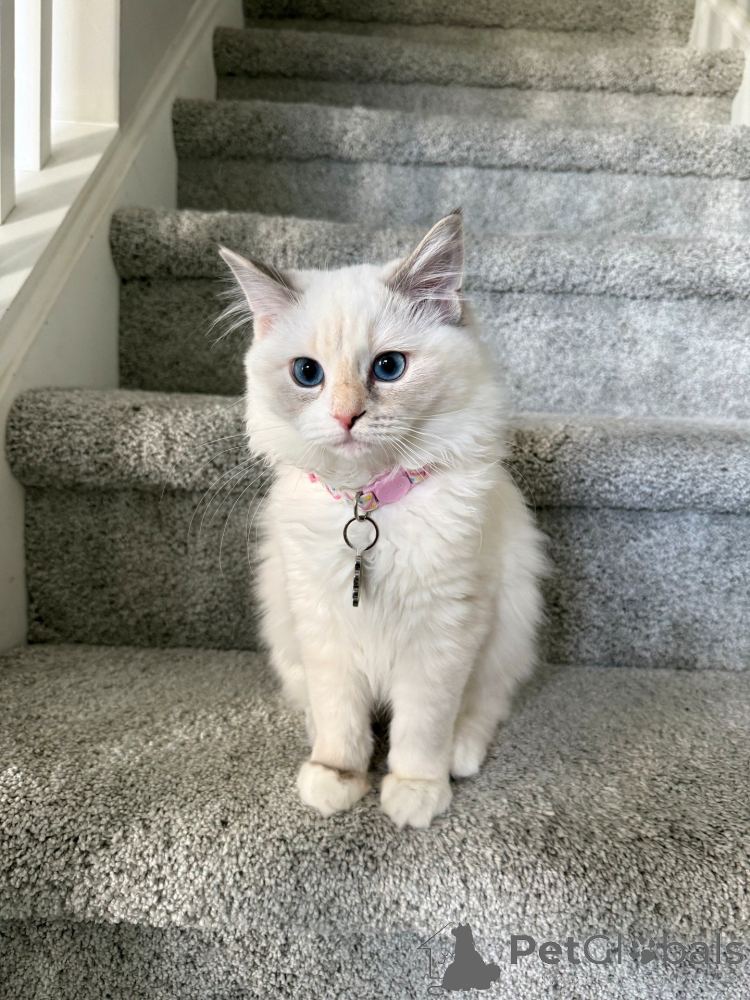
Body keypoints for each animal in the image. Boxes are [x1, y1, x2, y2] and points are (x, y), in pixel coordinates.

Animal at [220, 209, 546, 829]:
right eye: (307, 374)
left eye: (388, 367)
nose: (347, 417)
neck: (366, 503)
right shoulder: (322, 626)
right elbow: (342, 722)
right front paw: (337, 781)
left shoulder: (443, 630)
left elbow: (421, 727)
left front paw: (415, 792)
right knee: (313, 705)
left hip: (509, 625)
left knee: (483, 708)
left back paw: (458, 757)